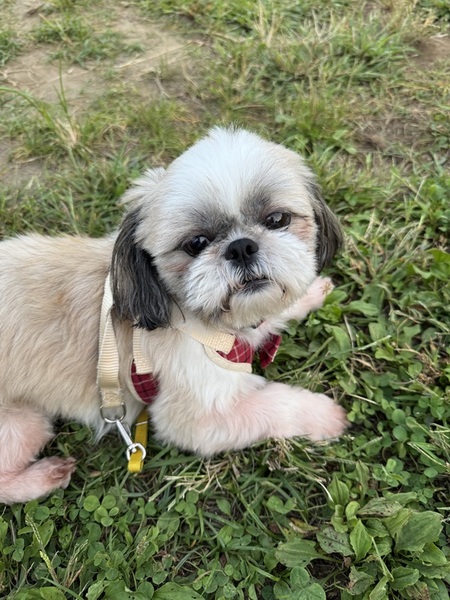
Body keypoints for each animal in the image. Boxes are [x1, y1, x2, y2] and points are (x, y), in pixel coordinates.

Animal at [0, 127, 347, 504]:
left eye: (277, 219)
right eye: (196, 243)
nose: (240, 247)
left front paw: (311, 292)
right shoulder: (199, 416)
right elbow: (278, 404)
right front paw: (324, 415)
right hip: (21, 423)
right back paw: (45, 476)